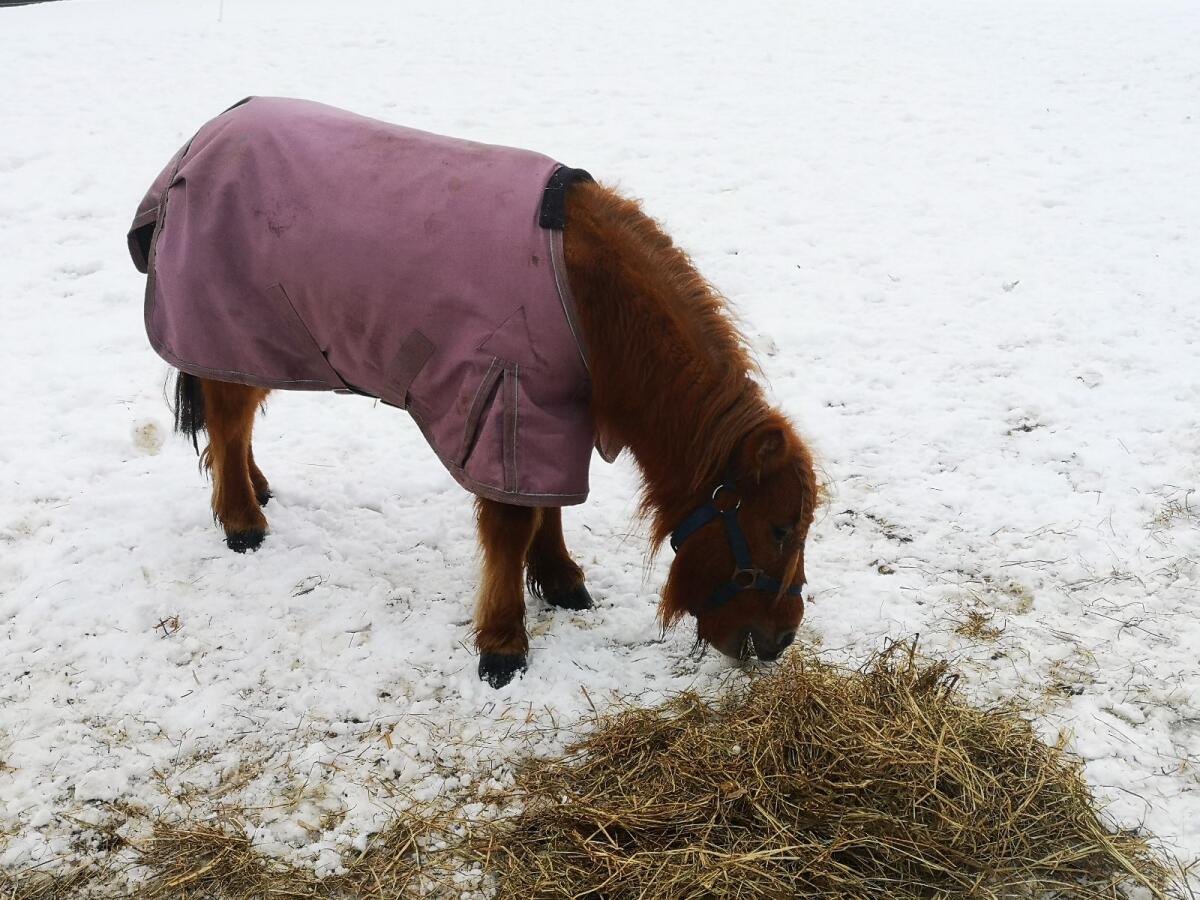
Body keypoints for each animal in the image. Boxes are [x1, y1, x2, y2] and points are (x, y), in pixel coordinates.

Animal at [129, 98, 818, 688]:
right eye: (781, 528)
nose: (781, 641)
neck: (587, 298)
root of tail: (202, 139)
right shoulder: (509, 398)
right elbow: (513, 523)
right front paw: (503, 643)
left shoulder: (551, 410)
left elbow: (549, 504)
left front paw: (559, 579)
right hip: (228, 326)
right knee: (228, 418)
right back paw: (242, 521)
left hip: (261, 339)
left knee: (237, 420)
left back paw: (255, 490)